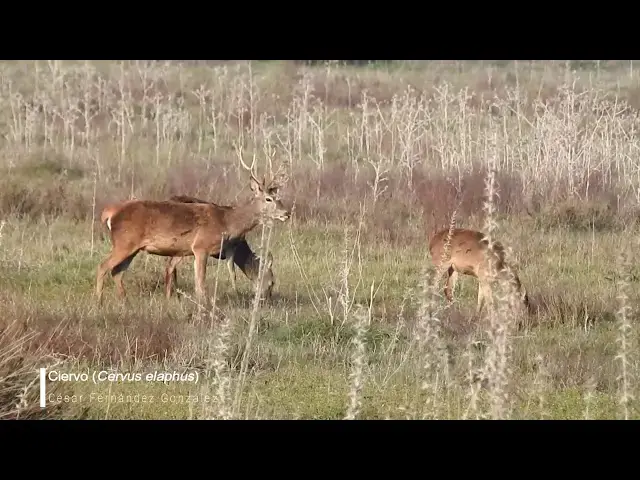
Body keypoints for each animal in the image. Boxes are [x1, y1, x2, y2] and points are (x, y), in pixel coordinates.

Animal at [95, 157, 290, 305]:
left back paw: (125, 302)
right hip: (124, 242)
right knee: (103, 266)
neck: (227, 222)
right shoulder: (201, 247)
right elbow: (201, 284)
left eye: (278, 197)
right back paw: (98, 302)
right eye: (269, 199)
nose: (287, 213)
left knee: (117, 271)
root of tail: (111, 212)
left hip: (133, 247)